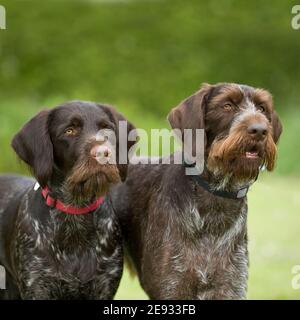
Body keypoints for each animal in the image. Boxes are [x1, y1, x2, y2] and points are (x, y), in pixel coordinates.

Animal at [0, 100, 135, 300]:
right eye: (69, 131)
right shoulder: (38, 285)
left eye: (107, 129)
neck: (75, 211)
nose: (103, 153)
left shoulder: (104, 285)